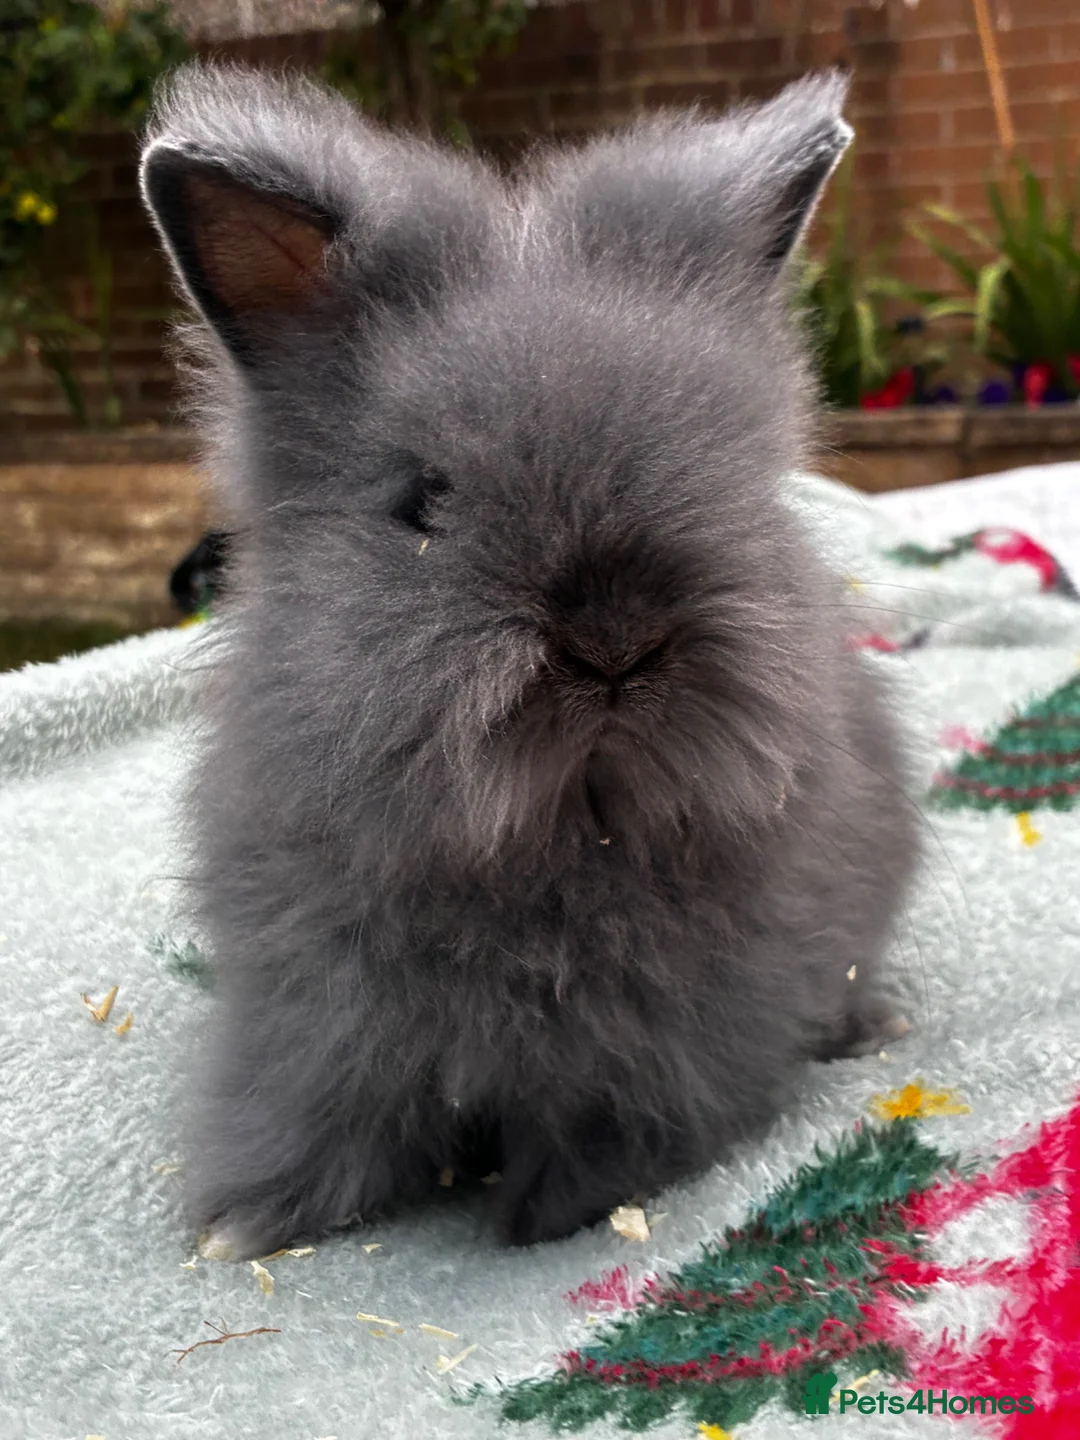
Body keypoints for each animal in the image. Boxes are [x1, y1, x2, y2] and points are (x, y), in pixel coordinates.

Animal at [140, 62, 918, 1260]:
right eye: (421, 502)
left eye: (735, 481)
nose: (613, 642)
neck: (555, 827)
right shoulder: (315, 1011)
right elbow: (320, 1113)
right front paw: (248, 1223)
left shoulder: (674, 1037)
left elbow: (617, 1122)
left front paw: (545, 1215)